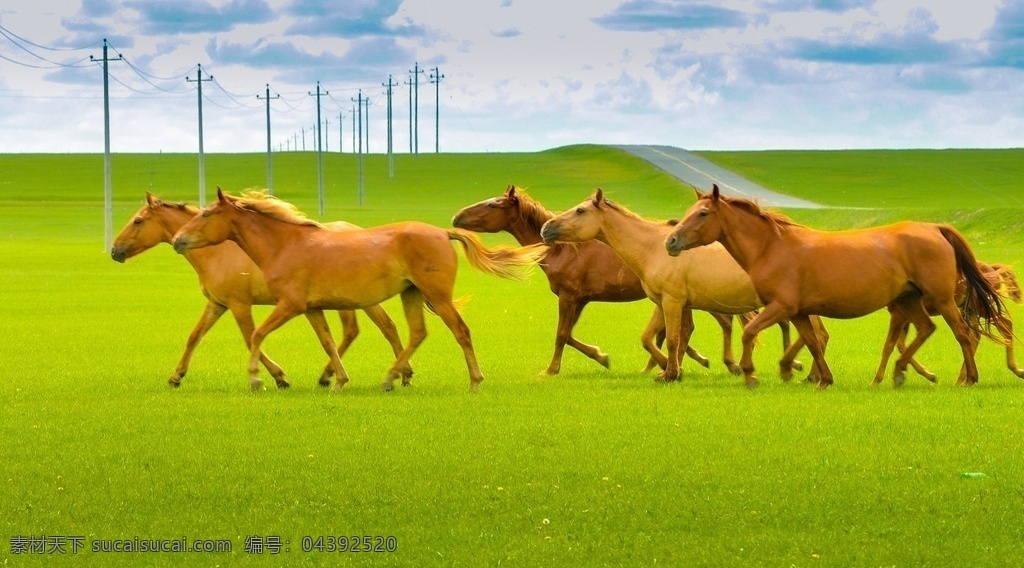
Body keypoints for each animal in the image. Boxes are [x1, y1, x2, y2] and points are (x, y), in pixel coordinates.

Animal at [107, 193, 403, 388]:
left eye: (137, 221)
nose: (114, 251)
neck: (219, 250)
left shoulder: (239, 305)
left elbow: (251, 338)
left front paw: (276, 377)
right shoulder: (217, 304)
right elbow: (194, 337)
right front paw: (176, 376)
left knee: (379, 328)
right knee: (369, 329)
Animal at [174, 189, 544, 392]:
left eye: (206, 214)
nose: (178, 240)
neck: (286, 244)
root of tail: (442, 232)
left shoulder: (289, 305)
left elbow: (256, 335)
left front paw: (257, 380)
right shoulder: (312, 308)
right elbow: (328, 342)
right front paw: (337, 380)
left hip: (436, 296)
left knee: (461, 332)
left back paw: (474, 380)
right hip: (411, 294)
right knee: (416, 333)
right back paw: (391, 377)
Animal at [536, 189, 823, 384]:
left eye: (580, 210)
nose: (546, 228)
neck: (653, 247)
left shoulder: (672, 301)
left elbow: (672, 339)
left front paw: (670, 373)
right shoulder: (663, 302)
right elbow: (651, 338)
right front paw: (668, 369)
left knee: (815, 336)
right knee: (816, 336)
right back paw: (808, 374)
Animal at [663, 184, 1007, 388]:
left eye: (703, 213)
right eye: (689, 213)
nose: (671, 241)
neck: (772, 247)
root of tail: (934, 228)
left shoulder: (781, 307)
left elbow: (750, 332)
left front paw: (750, 374)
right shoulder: (798, 312)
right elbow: (813, 343)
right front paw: (822, 379)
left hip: (942, 300)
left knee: (963, 334)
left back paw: (967, 379)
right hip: (909, 300)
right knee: (926, 329)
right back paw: (897, 372)